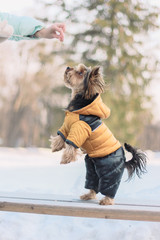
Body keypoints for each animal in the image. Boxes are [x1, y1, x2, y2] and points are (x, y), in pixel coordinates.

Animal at [49, 64, 146, 205]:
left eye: (79, 73)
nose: (68, 67)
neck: (80, 105)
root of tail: (124, 161)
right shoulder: (67, 126)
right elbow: (61, 136)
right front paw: (55, 146)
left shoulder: (80, 129)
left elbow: (71, 145)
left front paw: (65, 159)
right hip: (92, 167)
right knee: (93, 183)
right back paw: (88, 195)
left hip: (111, 171)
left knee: (109, 186)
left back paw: (107, 201)